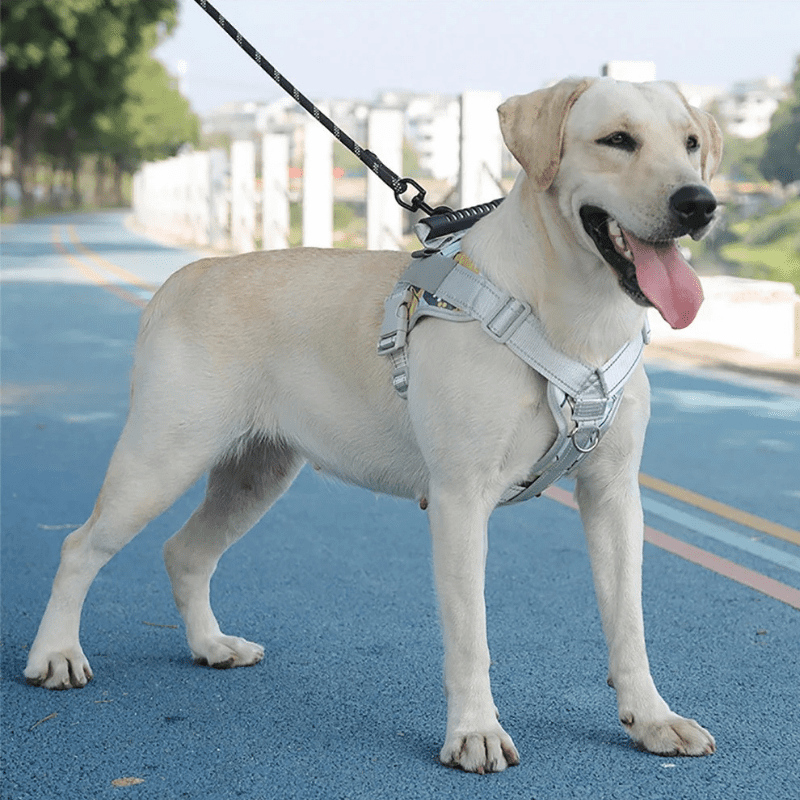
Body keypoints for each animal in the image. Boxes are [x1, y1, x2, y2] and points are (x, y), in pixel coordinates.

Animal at [28, 78, 720, 772]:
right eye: (617, 139)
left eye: (691, 143)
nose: (700, 203)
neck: (576, 318)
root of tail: (185, 275)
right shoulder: (460, 498)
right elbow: (471, 635)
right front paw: (474, 731)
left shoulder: (612, 495)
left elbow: (628, 622)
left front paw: (652, 718)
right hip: (160, 459)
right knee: (78, 547)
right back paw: (56, 653)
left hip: (256, 475)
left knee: (185, 552)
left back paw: (210, 644)